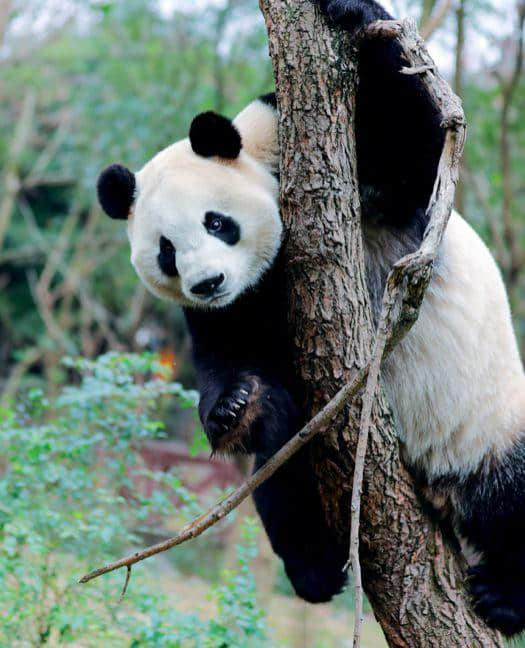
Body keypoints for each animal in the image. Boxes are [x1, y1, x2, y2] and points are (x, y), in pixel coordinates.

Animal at [96, 0, 524, 636]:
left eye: (216, 222)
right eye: (166, 252)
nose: (208, 282)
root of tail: (439, 490)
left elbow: (416, 152)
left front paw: (353, 14)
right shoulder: (236, 309)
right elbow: (231, 359)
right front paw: (233, 406)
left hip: (491, 423)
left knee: (514, 495)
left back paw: (503, 595)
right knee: (280, 478)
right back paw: (316, 572)